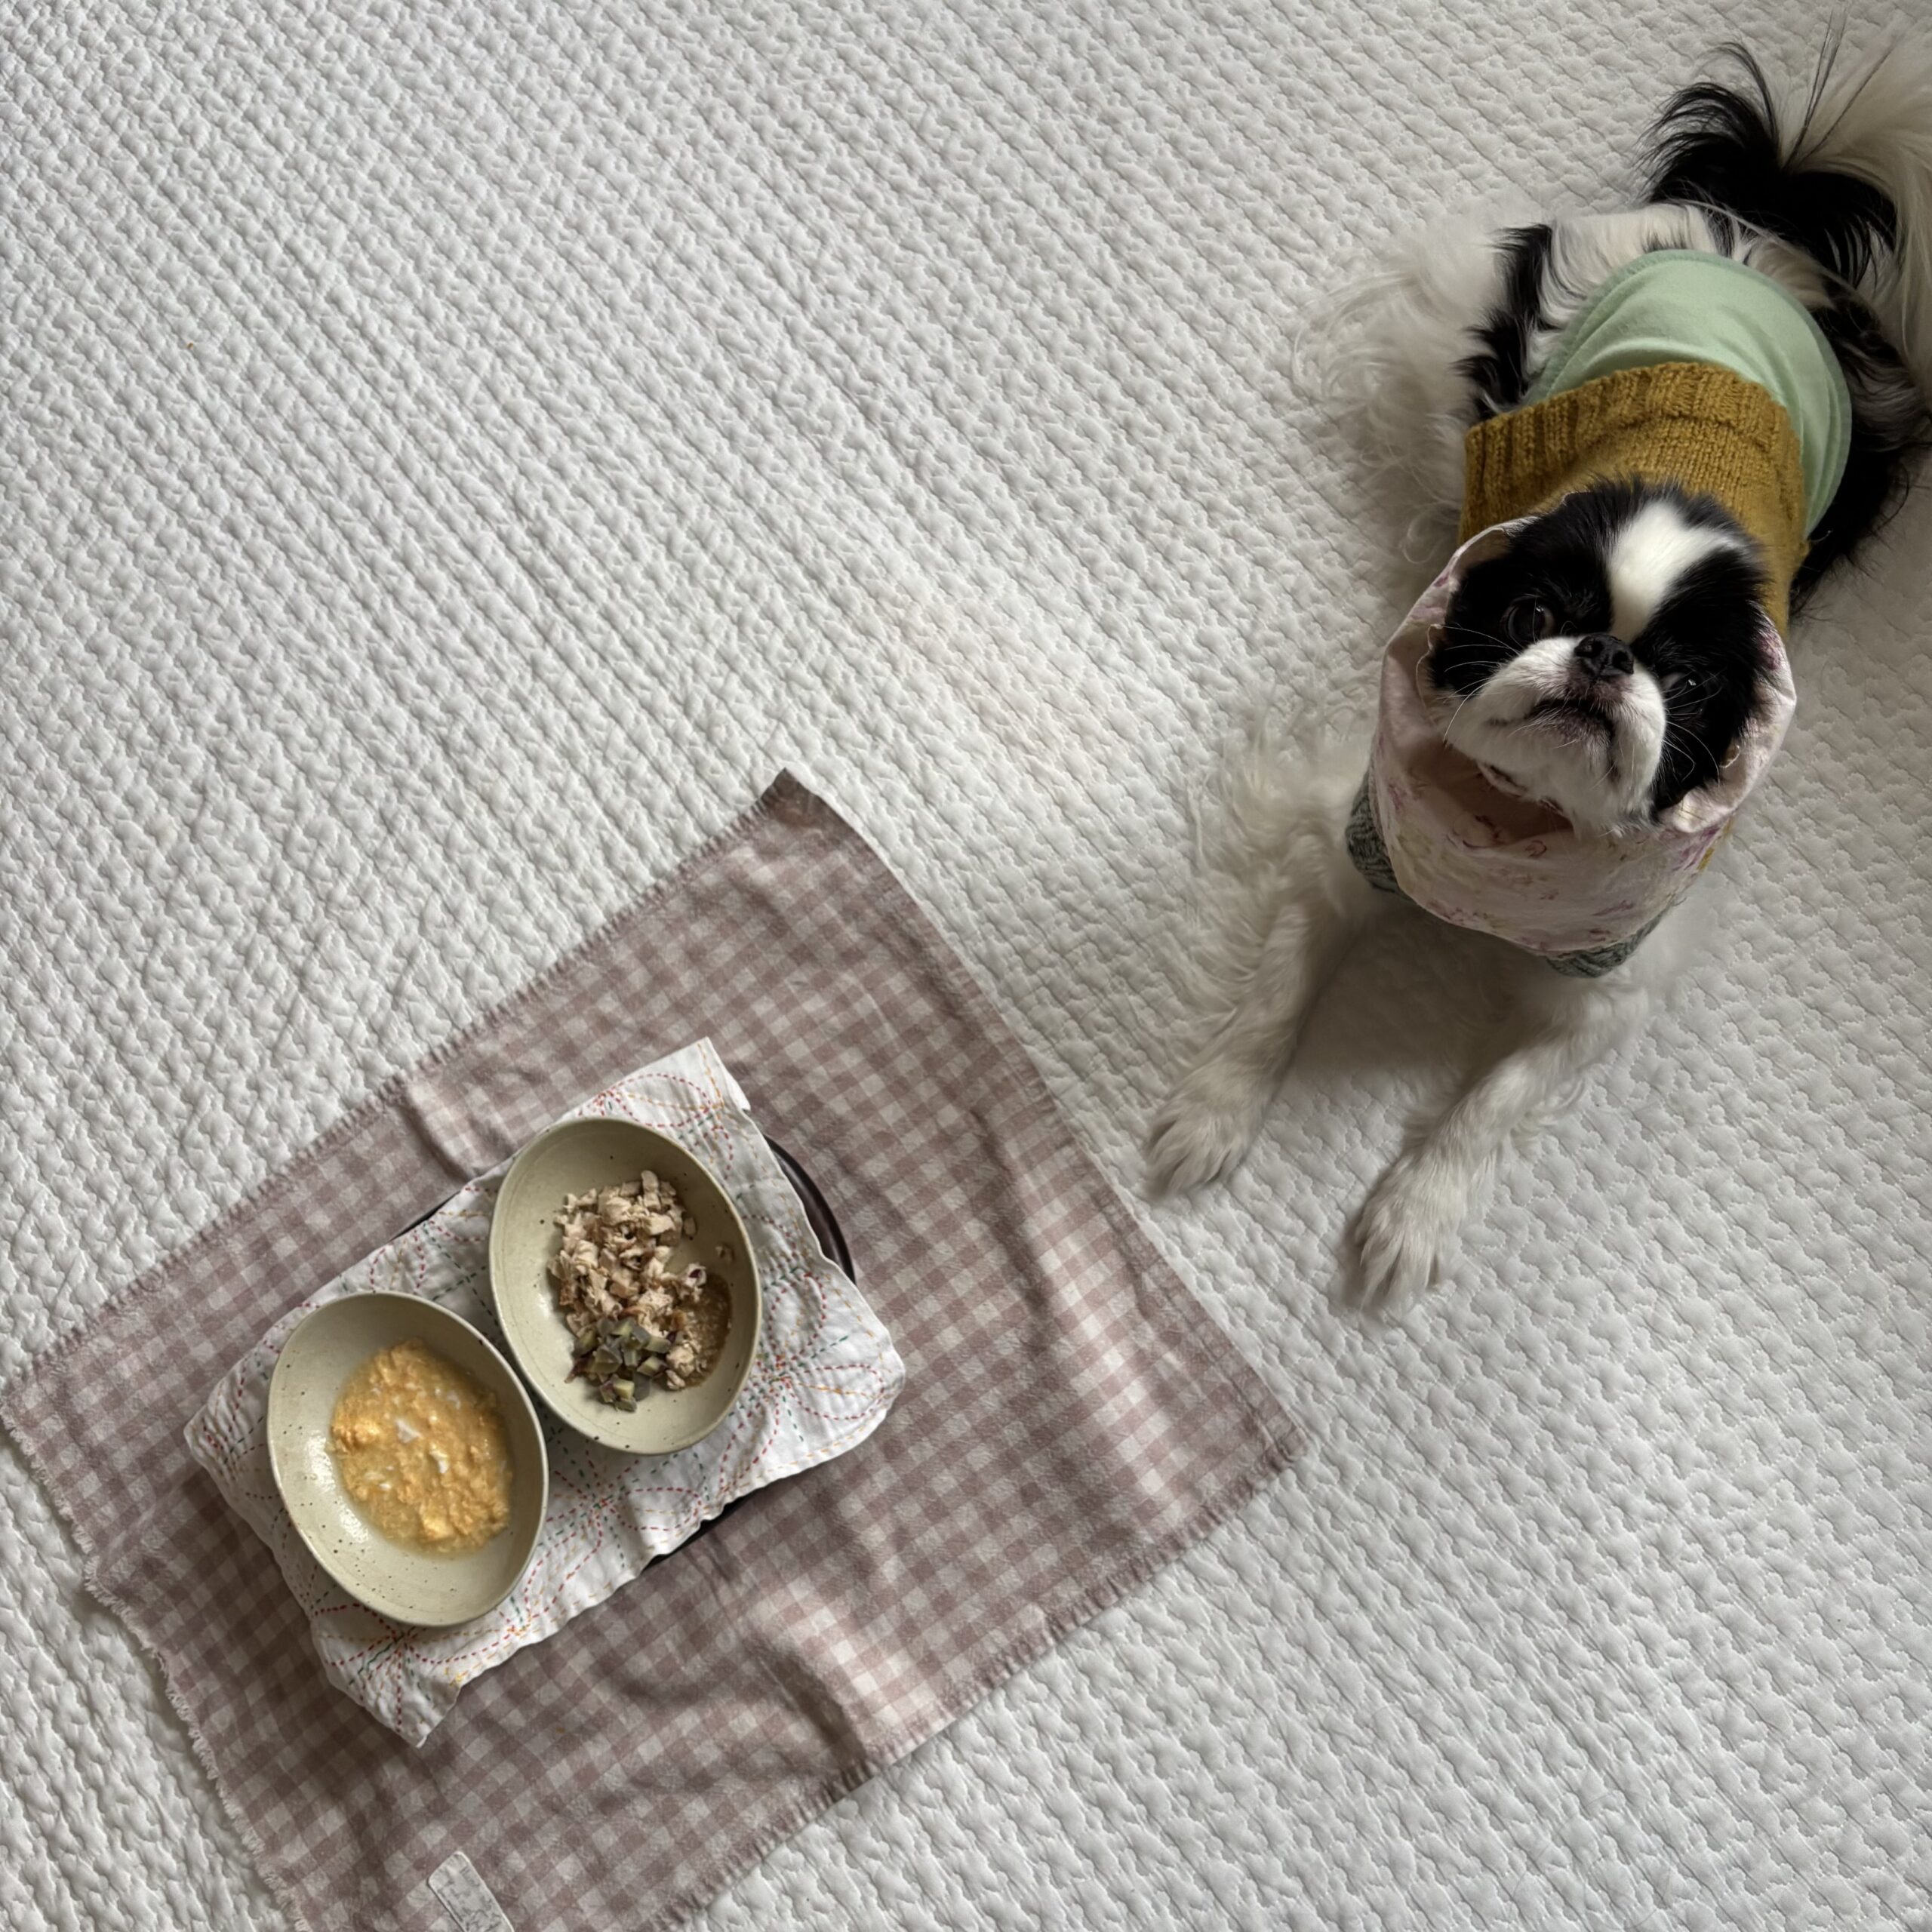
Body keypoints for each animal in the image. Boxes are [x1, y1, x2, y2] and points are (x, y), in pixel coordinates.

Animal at [1145, 39, 1932, 1311]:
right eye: (1531, 616)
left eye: (1694, 686)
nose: (1605, 657)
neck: (1518, 829)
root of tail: (1754, 222)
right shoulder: (1348, 845)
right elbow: (1275, 998)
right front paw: (1213, 1118)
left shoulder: (1607, 987)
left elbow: (1494, 1105)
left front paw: (1411, 1220)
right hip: (1484, 365)